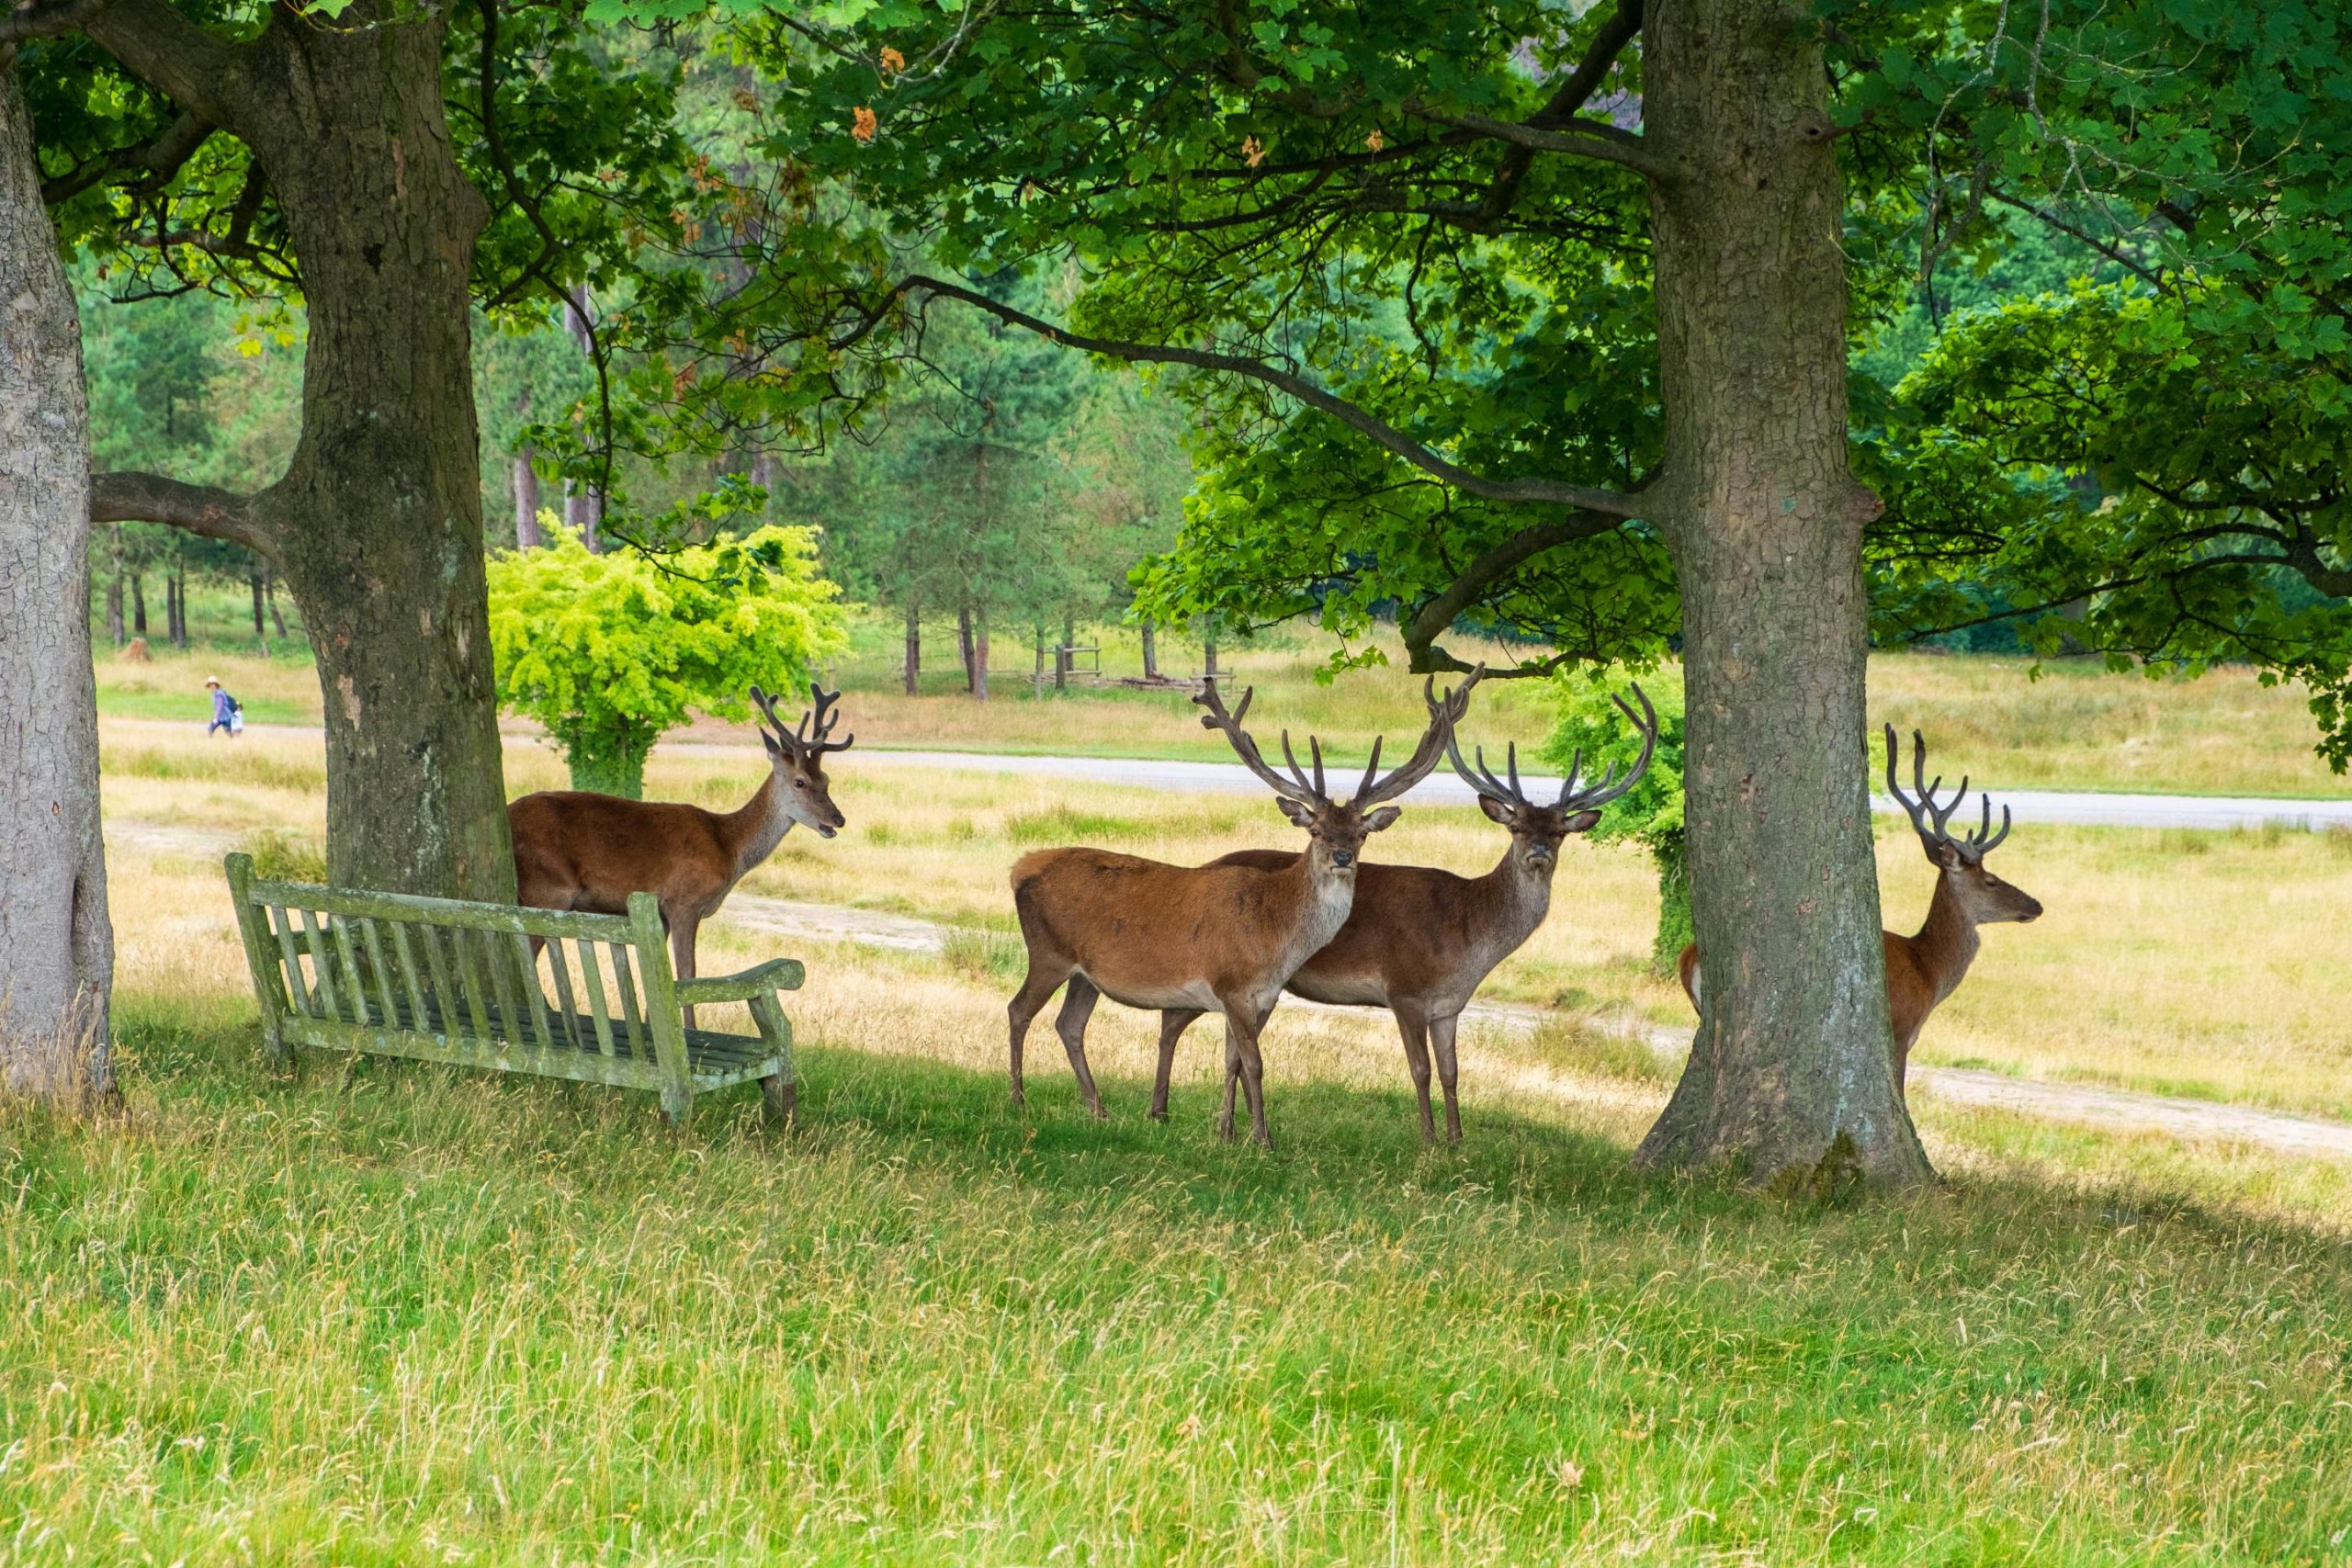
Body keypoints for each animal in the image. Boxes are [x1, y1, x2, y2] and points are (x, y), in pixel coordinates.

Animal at [510, 686, 860, 1020]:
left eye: (826, 779)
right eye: (799, 782)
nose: (838, 818)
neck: (728, 845)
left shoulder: (661, 915)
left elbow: (659, 976)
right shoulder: (684, 902)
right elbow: (687, 974)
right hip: (548, 887)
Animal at [1006, 677, 1467, 1152]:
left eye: (1361, 834)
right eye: (1316, 830)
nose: (1342, 857)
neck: (1274, 933)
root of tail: (1018, 868)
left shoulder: (1264, 995)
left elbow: (1236, 1061)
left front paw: (1229, 1133)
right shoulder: (1231, 985)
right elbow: (1255, 1063)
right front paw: (1263, 1139)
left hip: (1085, 973)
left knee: (1069, 1024)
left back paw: (1098, 1109)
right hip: (1047, 952)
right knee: (1019, 1010)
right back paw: (1019, 1100)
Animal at [1152, 682, 1656, 1146]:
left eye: (1559, 832)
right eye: (1514, 826)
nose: (1537, 852)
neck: (1468, 937)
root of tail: (1202, 867)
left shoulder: (1449, 1006)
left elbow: (1453, 1072)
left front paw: (1458, 1142)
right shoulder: (1405, 989)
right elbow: (1421, 1069)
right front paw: (1429, 1141)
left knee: (1224, 1044)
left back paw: (1216, 1126)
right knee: (1177, 1019)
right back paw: (1166, 1113)